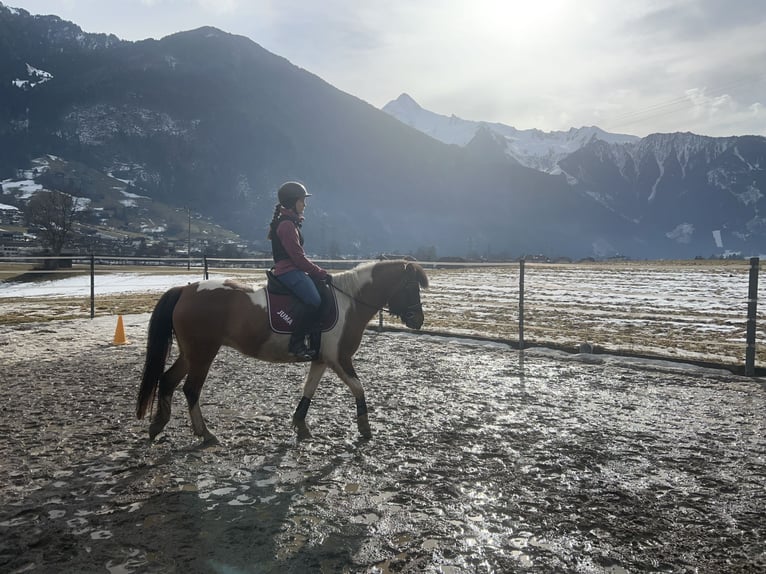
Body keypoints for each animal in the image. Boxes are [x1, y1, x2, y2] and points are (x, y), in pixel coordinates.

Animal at [136, 259, 429, 445]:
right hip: (203, 352)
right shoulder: (340, 358)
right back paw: (205, 433)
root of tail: (186, 289)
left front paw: (300, 425)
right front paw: (365, 427)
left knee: (167, 380)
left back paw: (158, 425)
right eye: (409, 287)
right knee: (190, 389)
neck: (349, 301)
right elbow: (359, 387)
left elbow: (309, 390)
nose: (418, 320)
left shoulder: (322, 359)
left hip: (191, 353)